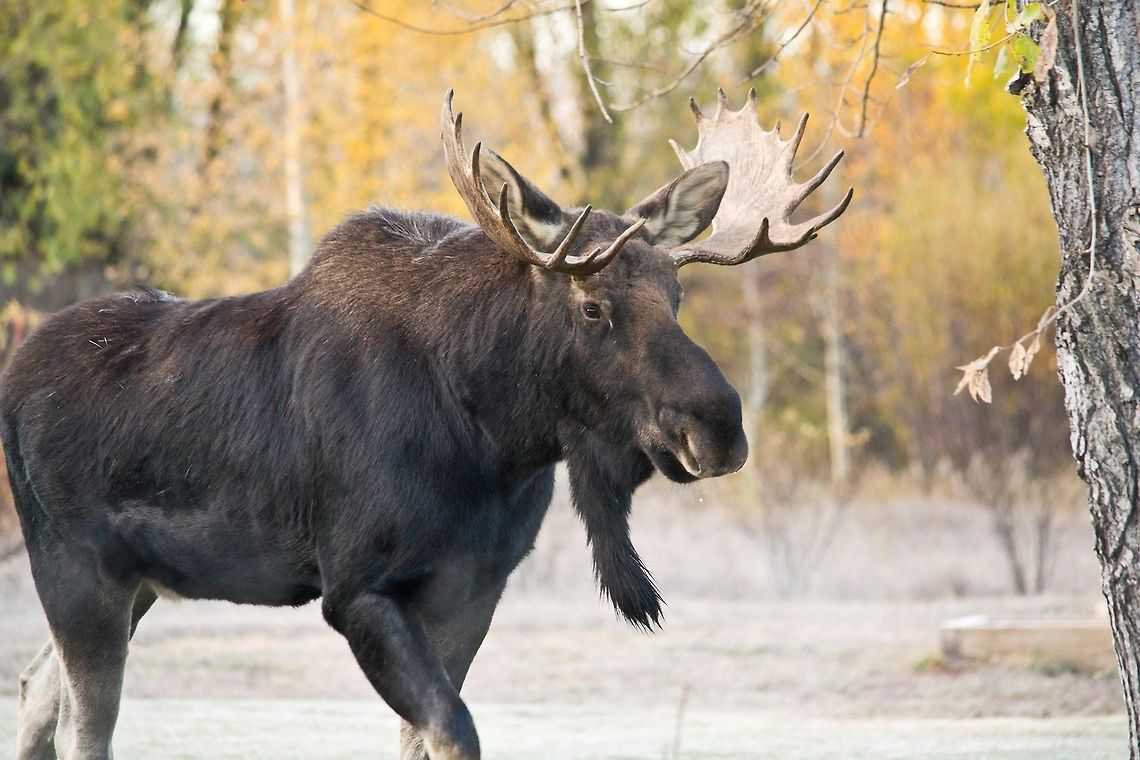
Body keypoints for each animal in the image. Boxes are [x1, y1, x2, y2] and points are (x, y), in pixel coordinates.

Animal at [1, 89, 850, 760]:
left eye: (677, 298)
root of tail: (11, 377)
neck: (493, 439)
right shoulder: (357, 588)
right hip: (72, 563)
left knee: (38, 686)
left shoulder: (472, 587)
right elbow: (454, 730)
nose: (719, 428)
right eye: (592, 305)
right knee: (84, 725)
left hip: (137, 579)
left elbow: (425, 735)